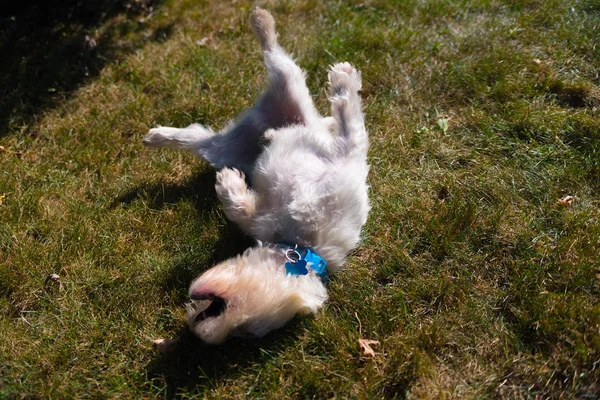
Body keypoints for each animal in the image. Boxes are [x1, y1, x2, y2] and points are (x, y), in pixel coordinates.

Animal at [144, 9, 370, 344]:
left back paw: (159, 136)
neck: (300, 246)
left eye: (245, 331)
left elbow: (239, 207)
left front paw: (227, 183)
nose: (199, 330)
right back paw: (262, 21)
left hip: (222, 148)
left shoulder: (259, 215)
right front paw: (344, 79)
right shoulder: (345, 156)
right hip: (288, 86)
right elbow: (348, 115)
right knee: (273, 52)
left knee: (195, 135)